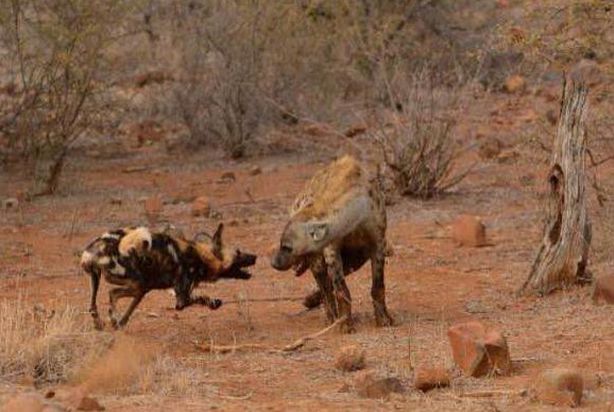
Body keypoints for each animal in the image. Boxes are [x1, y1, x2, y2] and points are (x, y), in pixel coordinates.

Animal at [80, 224, 256, 330]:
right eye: (238, 252)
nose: (255, 256)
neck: (200, 257)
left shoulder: (150, 290)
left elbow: (128, 313)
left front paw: (119, 324)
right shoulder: (181, 299)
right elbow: (197, 299)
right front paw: (213, 303)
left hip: (110, 281)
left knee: (94, 305)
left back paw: (104, 323)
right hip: (137, 282)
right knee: (112, 294)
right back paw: (112, 320)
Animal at [274, 154, 394, 332]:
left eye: (286, 247)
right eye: (281, 244)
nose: (273, 262)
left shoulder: (377, 240)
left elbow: (378, 284)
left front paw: (384, 320)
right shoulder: (331, 247)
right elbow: (341, 288)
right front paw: (345, 324)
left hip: (357, 258)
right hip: (320, 258)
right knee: (325, 285)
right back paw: (330, 318)